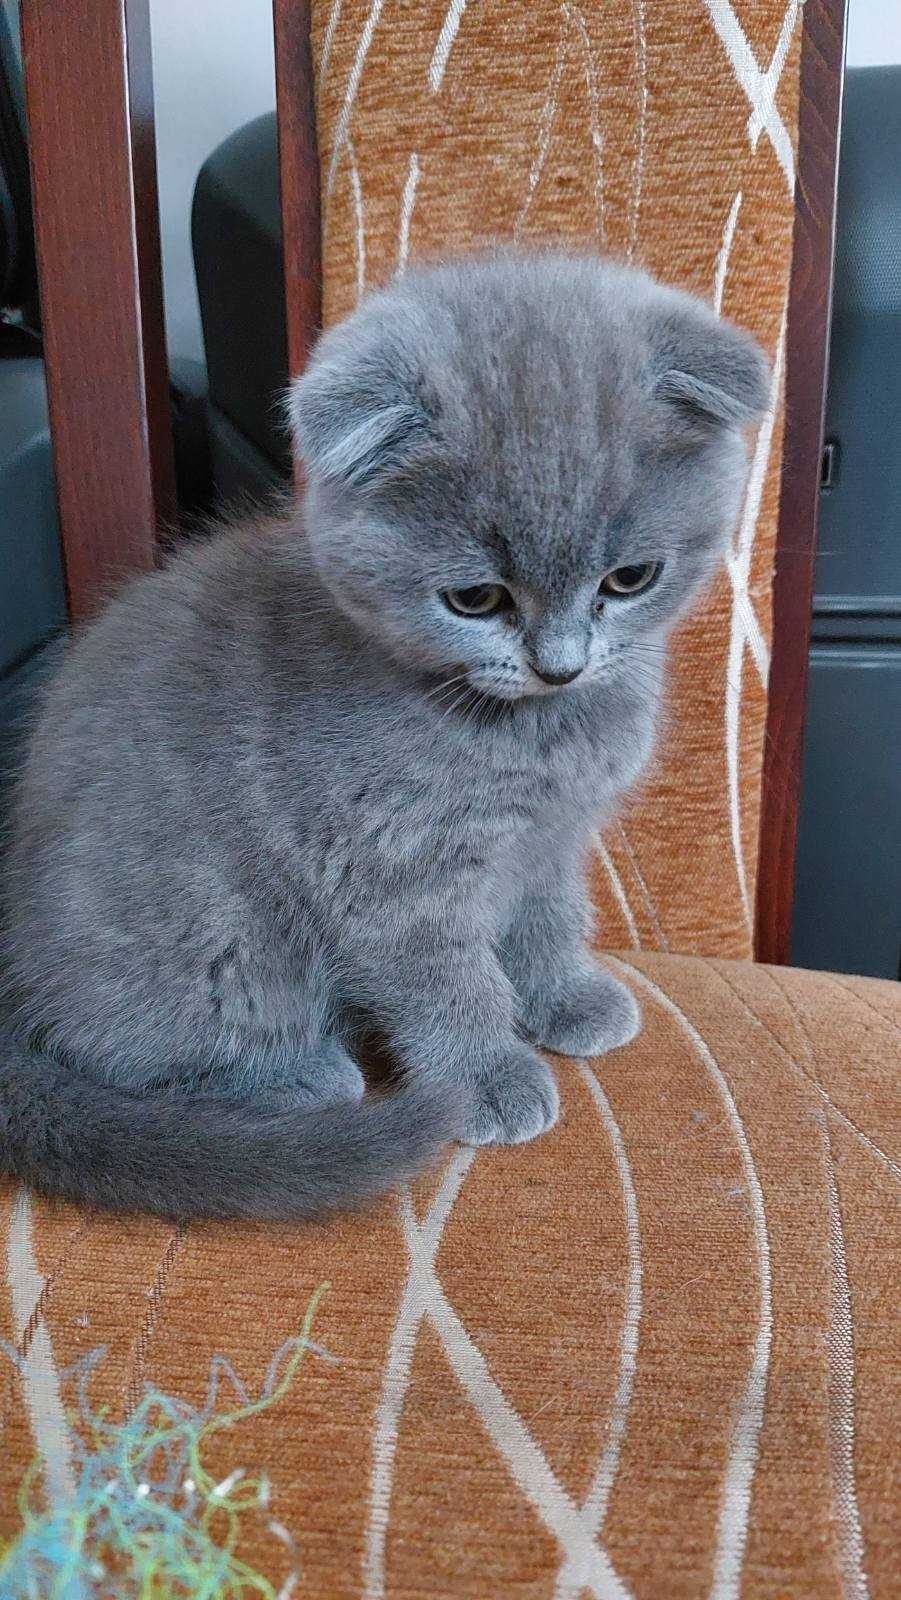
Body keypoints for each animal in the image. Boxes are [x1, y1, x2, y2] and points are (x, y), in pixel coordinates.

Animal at [0, 256, 768, 1216]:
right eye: (474, 599)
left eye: (629, 579)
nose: (559, 665)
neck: (538, 737)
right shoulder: (390, 866)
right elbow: (446, 982)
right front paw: (485, 1077)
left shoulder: (550, 843)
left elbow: (548, 919)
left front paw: (563, 997)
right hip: (216, 938)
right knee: (123, 1052)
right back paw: (295, 1078)